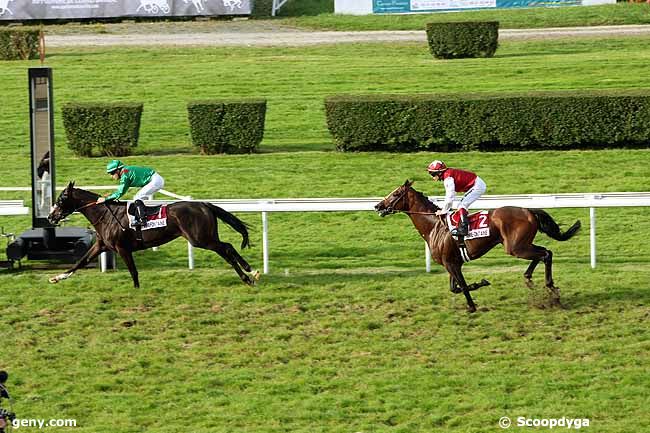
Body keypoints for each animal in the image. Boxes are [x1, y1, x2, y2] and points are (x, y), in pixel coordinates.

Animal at [46, 181, 258, 286]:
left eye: (62, 198)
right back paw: (249, 272)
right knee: (227, 248)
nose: (50, 216)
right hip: (206, 237)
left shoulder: (122, 248)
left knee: (226, 248)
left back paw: (248, 274)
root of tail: (204, 204)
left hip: (200, 239)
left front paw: (136, 290)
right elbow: (80, 262)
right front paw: (57, 278)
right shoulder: (101, 246)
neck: (105, 215)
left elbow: (133, 271)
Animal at [372, 181, 580, 312]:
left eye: (396, 194)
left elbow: (462, 286)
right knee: (543, 254)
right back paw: (529, 278)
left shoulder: (451, 264)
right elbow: (455, 287)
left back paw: (550, 288)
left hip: (516, 247)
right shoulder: (452, 263)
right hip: (521, 245)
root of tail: (528, 210)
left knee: (546, 253)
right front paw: (481, 283)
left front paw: (472, 306)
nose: (378, 206)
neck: (434, 226)